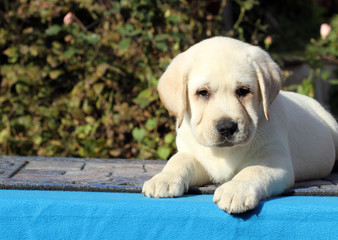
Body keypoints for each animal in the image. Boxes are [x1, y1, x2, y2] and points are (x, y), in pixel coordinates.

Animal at [141, 37, 336, 214]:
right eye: (202, 93)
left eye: (243, 91)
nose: (227, 127)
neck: (224, 153)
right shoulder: (193, 155)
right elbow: (178, 160)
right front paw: (163, 179)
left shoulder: (274, 159)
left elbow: (253, 170)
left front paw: (236, 190)